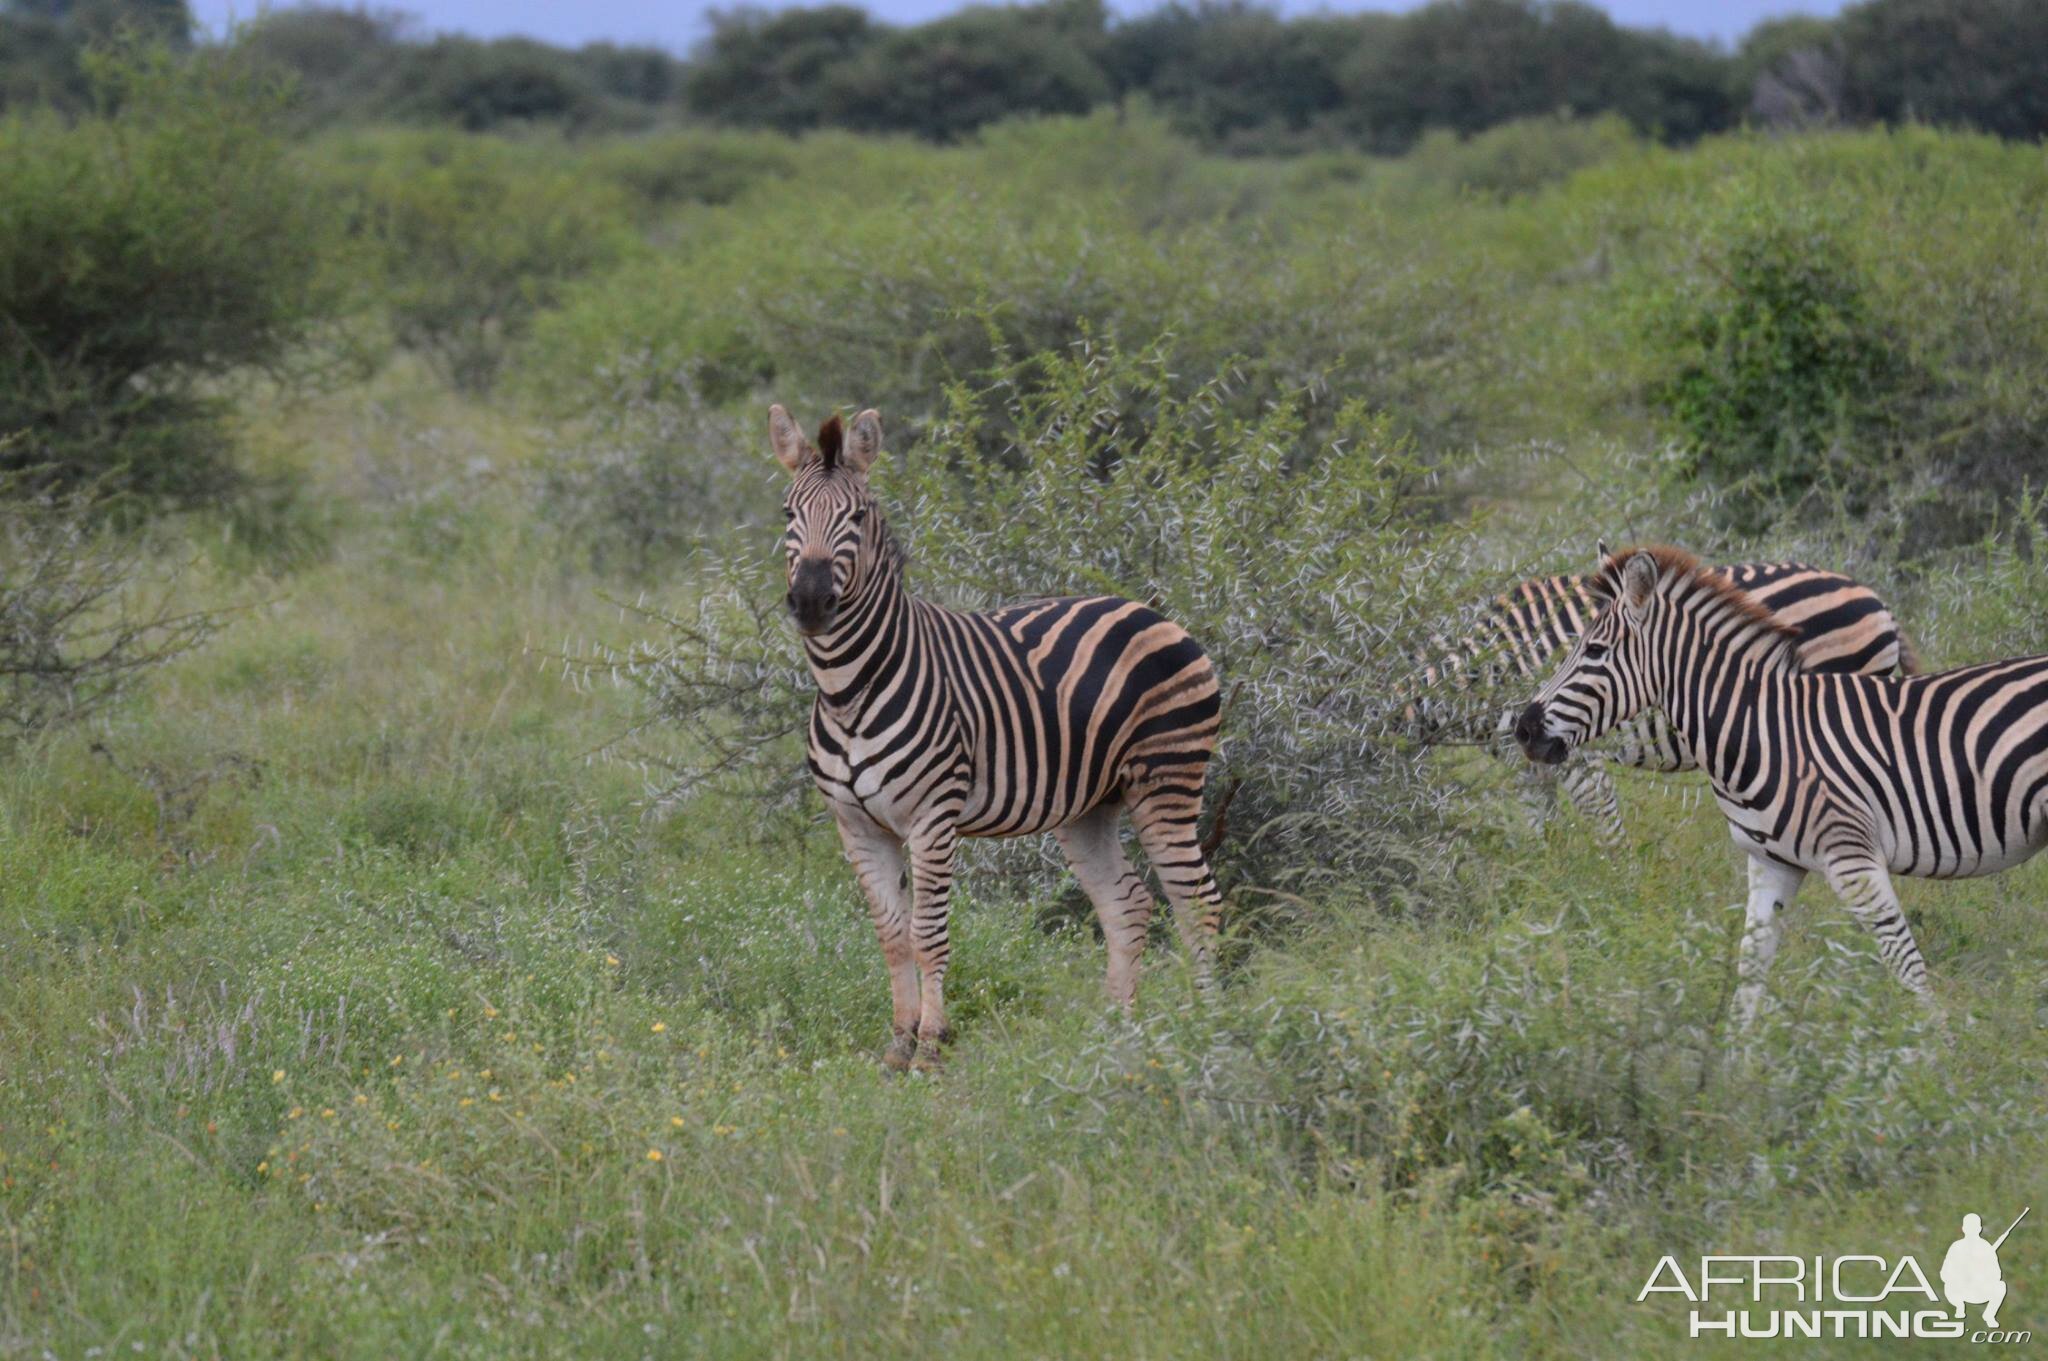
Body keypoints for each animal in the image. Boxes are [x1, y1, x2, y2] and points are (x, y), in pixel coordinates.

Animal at [765, 403, 1212, 1072]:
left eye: (858, 517)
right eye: (788, 515)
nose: (812, 601)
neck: (849, 690)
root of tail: (1152, 611)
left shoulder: (932, 816)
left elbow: (927, 934)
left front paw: (930, 1046)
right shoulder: (856, 825)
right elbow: (891, 936)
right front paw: (897, 1045)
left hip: (1168, 783)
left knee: (1197, 901)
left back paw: (1213, 1026)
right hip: (1090, 806)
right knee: (1128, 903)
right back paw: (1114, 1033)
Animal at [1507, 540, 2048, 1019]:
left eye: (1594, 651)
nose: (1524, 728)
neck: (1761, 729)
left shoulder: (1852, 858)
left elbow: (1907, 968)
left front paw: (1935, 1059)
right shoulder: (1771, 864)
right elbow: (1749, 975)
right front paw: (1734, 1066)